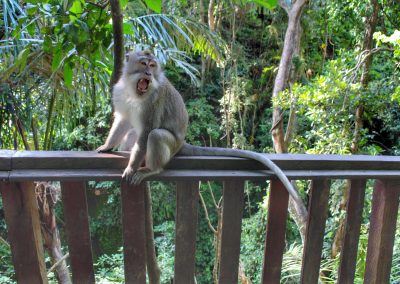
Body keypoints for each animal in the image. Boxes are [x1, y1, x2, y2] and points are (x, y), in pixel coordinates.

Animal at [97, 50, 300, 203]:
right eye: (143, 63)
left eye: (152, 65)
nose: (148, 74)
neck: (134, 91)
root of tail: (181, 142)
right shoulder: (120, 92)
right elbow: (123, 121)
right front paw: (107, 146)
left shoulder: (154, 99)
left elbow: (148, 130)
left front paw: (131, 168)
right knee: (133, 135)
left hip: (172, 145)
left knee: (155, 135)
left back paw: (152, 169)